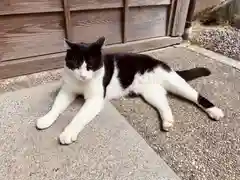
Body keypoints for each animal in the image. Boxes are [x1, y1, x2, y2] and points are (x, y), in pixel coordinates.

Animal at [36, 36, 224, 145]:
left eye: (90, 65)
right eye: (75, 64)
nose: (82, 75)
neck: (81, 84)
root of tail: (159, 62)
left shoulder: (95, 99)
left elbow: (79, 116)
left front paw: (68, 133)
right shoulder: (67, 90)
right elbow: (56, 106)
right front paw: (46, 119)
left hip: (174, 82)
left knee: (196, 96)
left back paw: (215, 111)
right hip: (151, 93)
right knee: (163, 103)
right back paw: (167, 121)